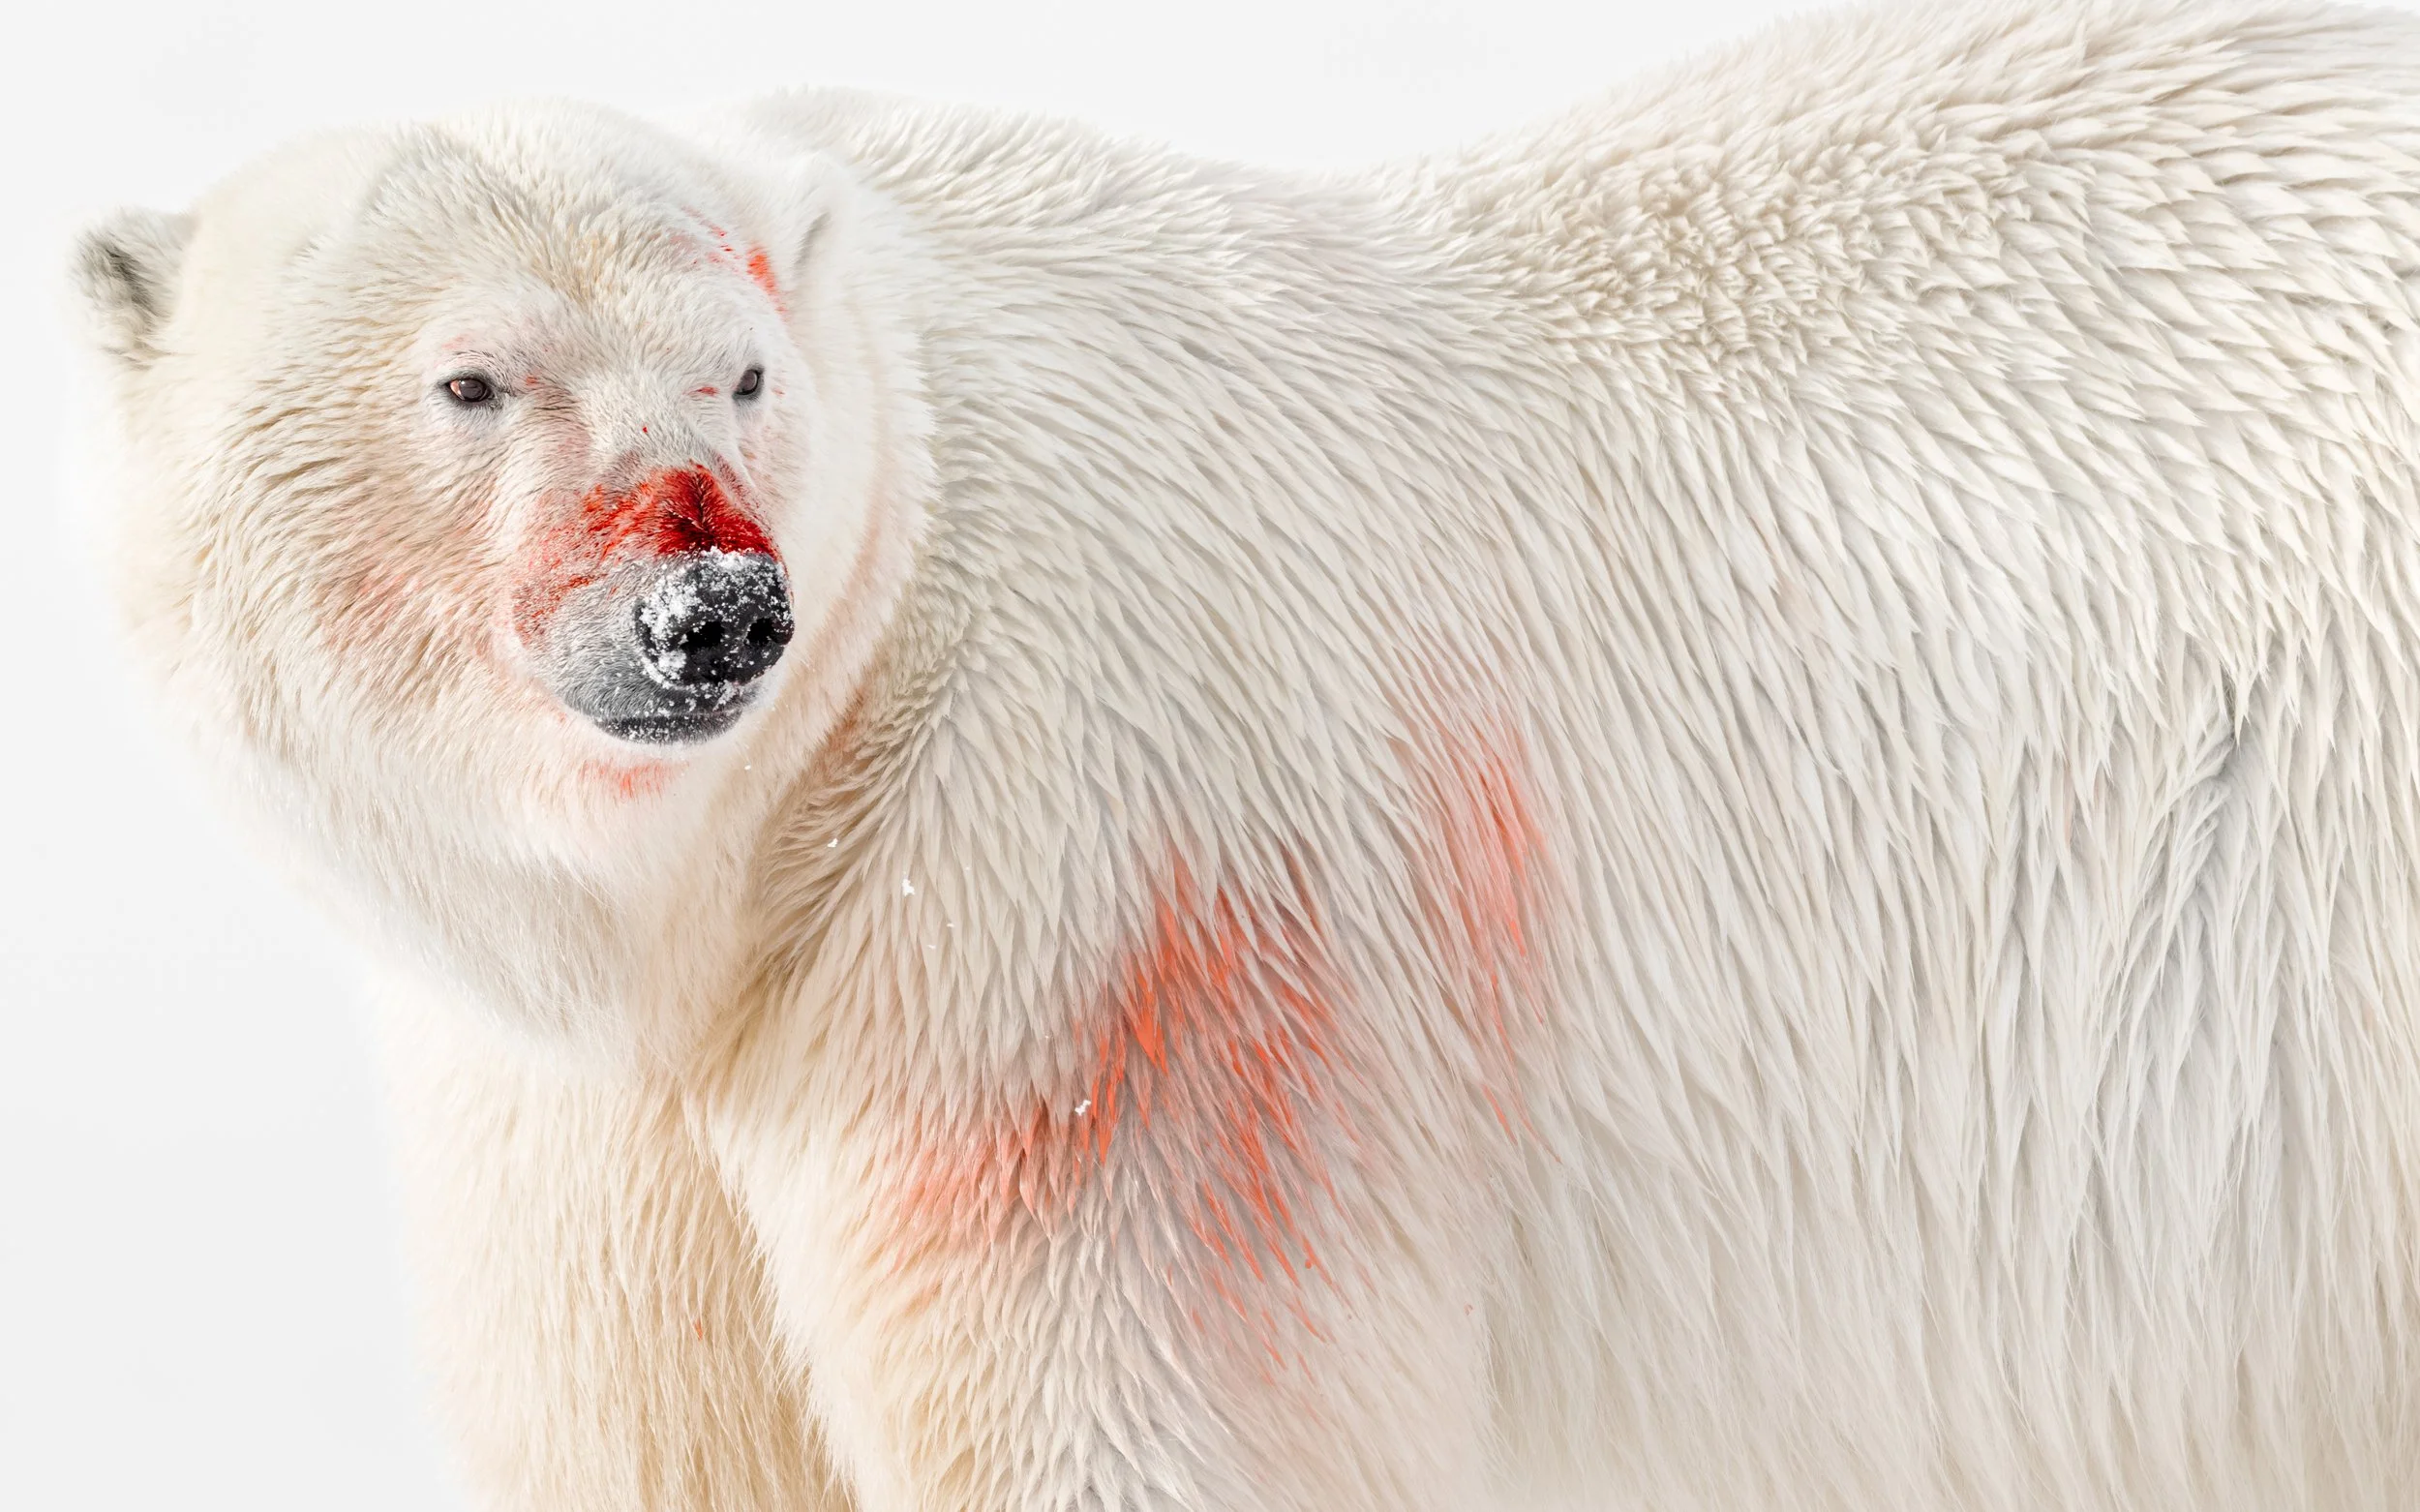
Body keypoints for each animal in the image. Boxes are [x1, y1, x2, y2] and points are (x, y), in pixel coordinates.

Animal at [68, 0, 2420, 1506]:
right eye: (474, 379)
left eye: (740, 371)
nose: (714, 607)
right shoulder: (593, 1110)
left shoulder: (1094, 931)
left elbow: (1121, 1414)